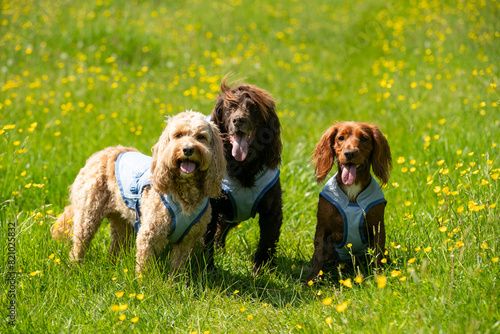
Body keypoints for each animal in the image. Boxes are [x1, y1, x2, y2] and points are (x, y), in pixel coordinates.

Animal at [50, 111, 225, 272]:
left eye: (201, 137)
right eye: (178, 135)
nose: (188, 149)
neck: (184, 191)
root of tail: (98, 154)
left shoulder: (188, 240)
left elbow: (177, 267)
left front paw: (174, 283)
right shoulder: (149, 235)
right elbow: (145, 268)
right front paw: (145, 284)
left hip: (121, 222)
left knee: (115, 247)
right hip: (88, 214)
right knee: (79, 245)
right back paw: (74, 268)